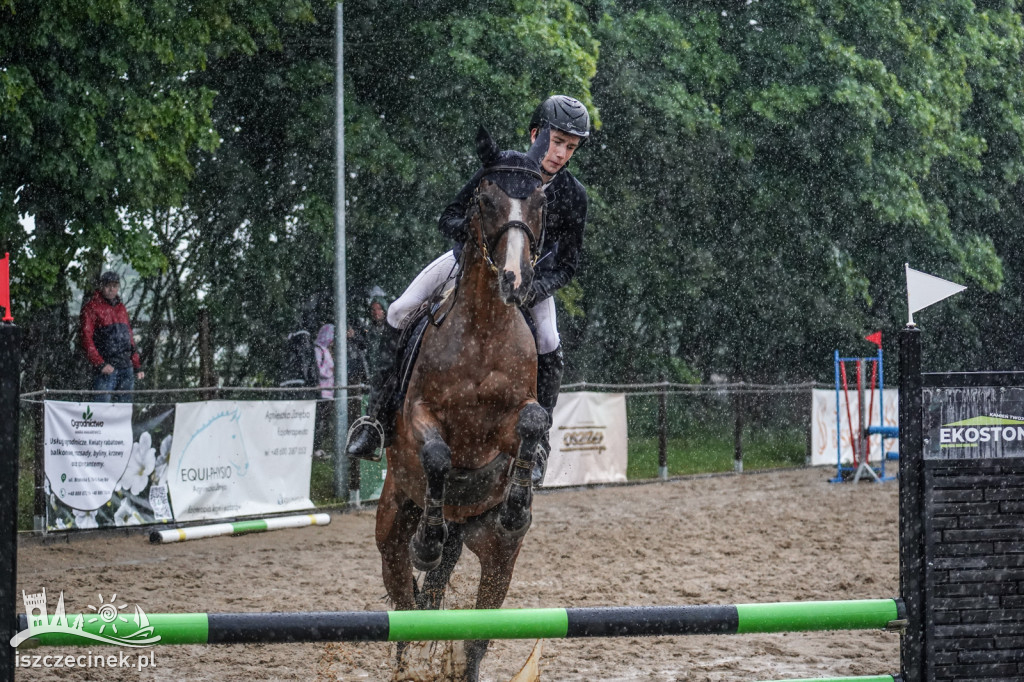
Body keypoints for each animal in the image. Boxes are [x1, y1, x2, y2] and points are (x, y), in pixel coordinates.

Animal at [376, 129, 552, 679]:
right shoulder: (419, 418)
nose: (515, 280)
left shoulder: (508, 424)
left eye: (541, 202)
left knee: (473, 634)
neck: (483, 328)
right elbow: (436, 454)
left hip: (496, 554)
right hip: (392, 522)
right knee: (405, 610)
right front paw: (427, 543)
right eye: (485, 199)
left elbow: (533, 421)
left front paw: (518, 501)